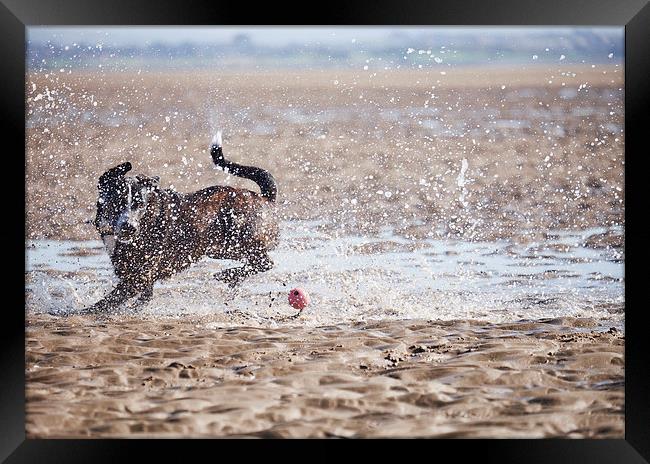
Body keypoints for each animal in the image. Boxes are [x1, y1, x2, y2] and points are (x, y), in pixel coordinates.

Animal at [86, 130, 278, 312]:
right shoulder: (142, 277)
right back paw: (232, 278)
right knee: (258, 262)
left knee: (265, 262)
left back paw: (228, 275)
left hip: (239, 239)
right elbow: (144, 297)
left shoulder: (138, 278)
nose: (129, 227)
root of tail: (265, 197)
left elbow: (103, 304)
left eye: (140, 205)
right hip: (220, 248)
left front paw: (83, 312)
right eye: (116, 203)